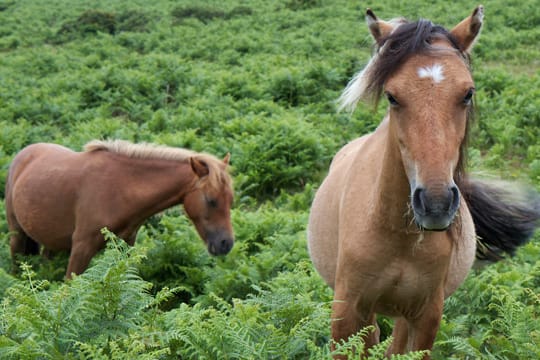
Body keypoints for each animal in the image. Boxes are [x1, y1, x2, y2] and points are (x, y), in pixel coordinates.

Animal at [5, 139, 234, 278]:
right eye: (211, 200)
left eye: (230, 199)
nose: (226, 244)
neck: (121, 189)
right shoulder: (81, 247)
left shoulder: (126, 246)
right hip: (17, 234)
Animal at [308, 4, 540, 358]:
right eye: (392, 96)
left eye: (467, 93)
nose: (435, 204)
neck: (397, 234)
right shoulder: (346, 313)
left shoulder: (426, 315)